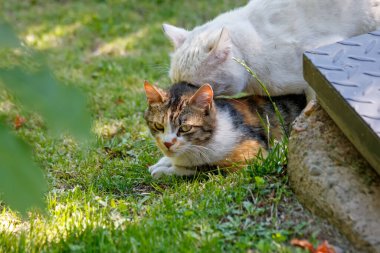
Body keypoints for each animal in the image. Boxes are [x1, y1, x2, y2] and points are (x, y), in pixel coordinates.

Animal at [142, 81, 306, 178]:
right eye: (158, 126)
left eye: (185, 128)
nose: (167, 143)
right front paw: (163, 162)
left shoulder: (255, 157)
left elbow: (209, 167)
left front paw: (165, 170)